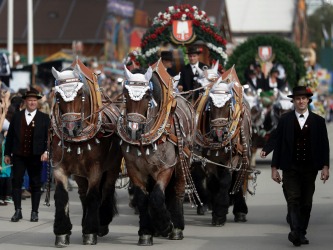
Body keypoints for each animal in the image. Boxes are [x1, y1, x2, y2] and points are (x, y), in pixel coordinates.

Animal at [49, 59, 122, 247]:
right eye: (58, 96)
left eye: (80, 93)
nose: (70, 128)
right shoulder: (59, 167)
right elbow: (61, 196)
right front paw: (62, 232)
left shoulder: (95, 168)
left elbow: (94, 196)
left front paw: (90, 231)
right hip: (79, 173)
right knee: (82, 194)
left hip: (112, 167)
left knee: (107, 190)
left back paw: (102, 222)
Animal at [116, 60, 196, 246]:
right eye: (125, 94)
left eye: (147, 96)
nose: (133, 130)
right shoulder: (135, 170)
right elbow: (142, 198)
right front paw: (146, 233)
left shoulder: (165, 167)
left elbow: (157, 196)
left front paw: (166, 225)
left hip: (181, 164)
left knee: (177, 191)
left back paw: (176, 228)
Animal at [192, 67, 252, 226]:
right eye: (210, 104)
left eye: (228, 104)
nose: (219, 132)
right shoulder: (207, 159)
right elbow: (213, 181)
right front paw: (217, 209)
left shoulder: (234, 158)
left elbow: (226, 180)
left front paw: (220, 213)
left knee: (239, 176)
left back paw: (240, 210)